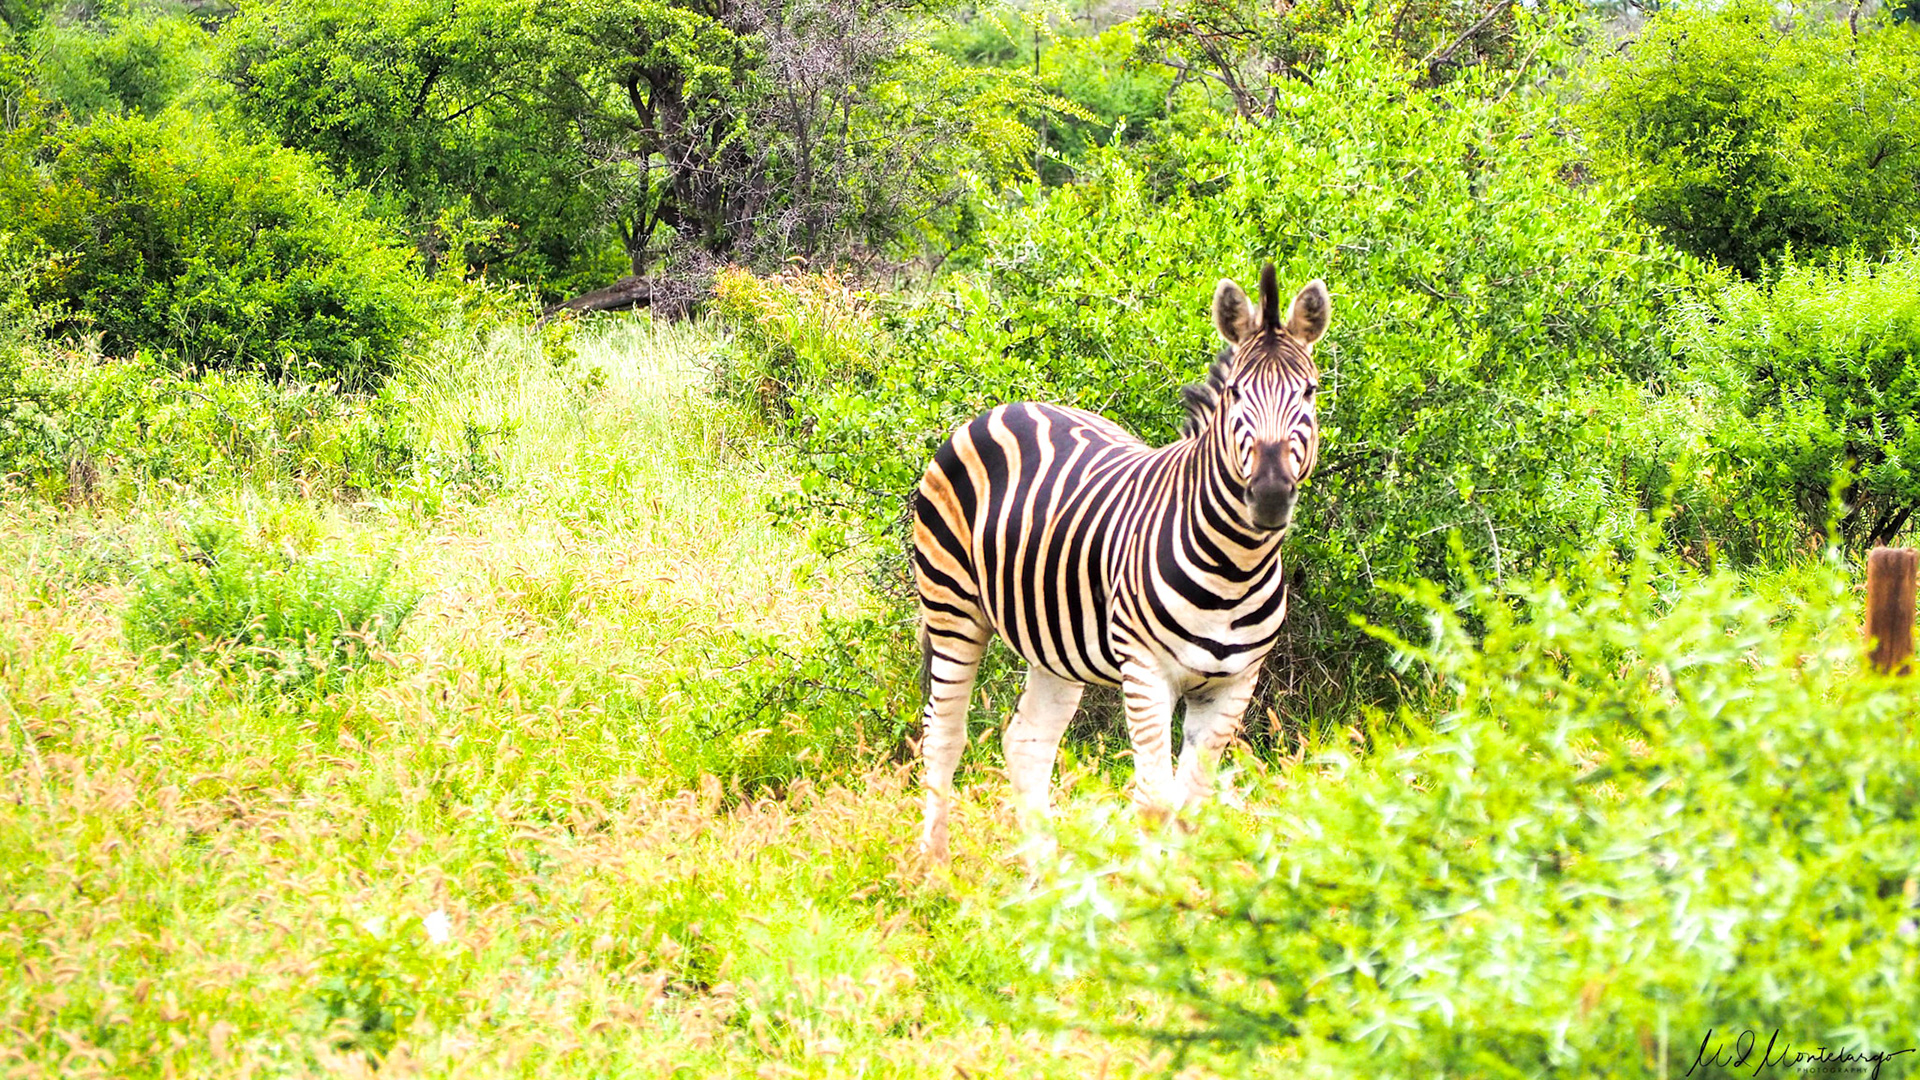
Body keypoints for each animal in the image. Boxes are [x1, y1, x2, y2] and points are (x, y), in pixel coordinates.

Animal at [911, 263, 1329, 862]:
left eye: (1310, 391)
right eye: (1234, 392)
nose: (1270, 495)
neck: (1235, 566)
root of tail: (1010, 405)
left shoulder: (1234, 684)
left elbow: (1192, 806)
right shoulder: (1146, 670)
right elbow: (1155, 802)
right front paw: (1151, 887)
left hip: (1054, 642)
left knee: (1026, 742)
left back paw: (1047, 876)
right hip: (952, 608)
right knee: (943, 735)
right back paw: (936, 869)